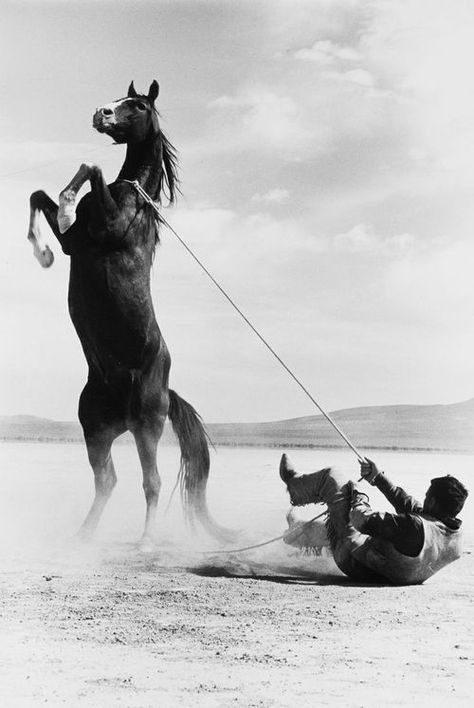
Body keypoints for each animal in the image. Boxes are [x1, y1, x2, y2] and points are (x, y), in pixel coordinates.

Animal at [28, 80, 228, 552]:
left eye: (135, 105)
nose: (100, 114)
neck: (133, 199)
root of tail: (166, 391)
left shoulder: (103, 229)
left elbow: (91, 167)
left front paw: (63, 212)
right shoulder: (74, 243)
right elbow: (40, 196)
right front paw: (42, 250)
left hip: (146, 427)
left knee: (150, 482)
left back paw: (146, 541)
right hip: (96, 429)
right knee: (108, 481)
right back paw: (82, 536)